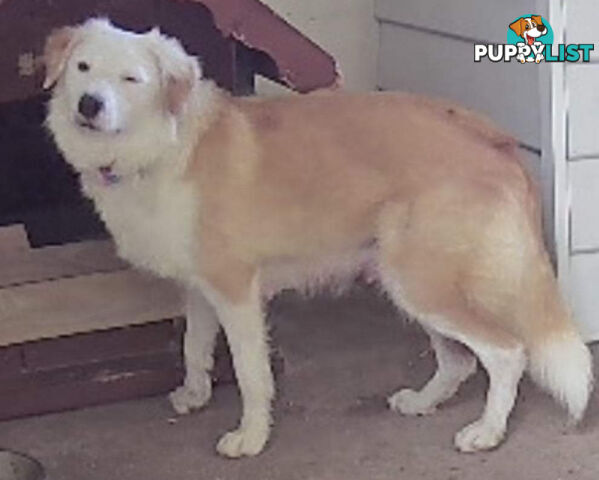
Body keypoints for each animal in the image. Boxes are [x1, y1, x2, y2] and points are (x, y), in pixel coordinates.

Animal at [44, 18, 592, 460]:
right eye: (83, 68)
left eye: (131, 79)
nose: (89, 104)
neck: (167, 144)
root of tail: (490, 137)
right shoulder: (198, 288)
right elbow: (193, 348)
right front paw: (194, 396)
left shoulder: (235, 291)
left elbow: (251, 374)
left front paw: (251, 438)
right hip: (409, 282)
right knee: (458, 360)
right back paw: (423, 401)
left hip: (420, 282)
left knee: (506, 352)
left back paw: (487, 431)